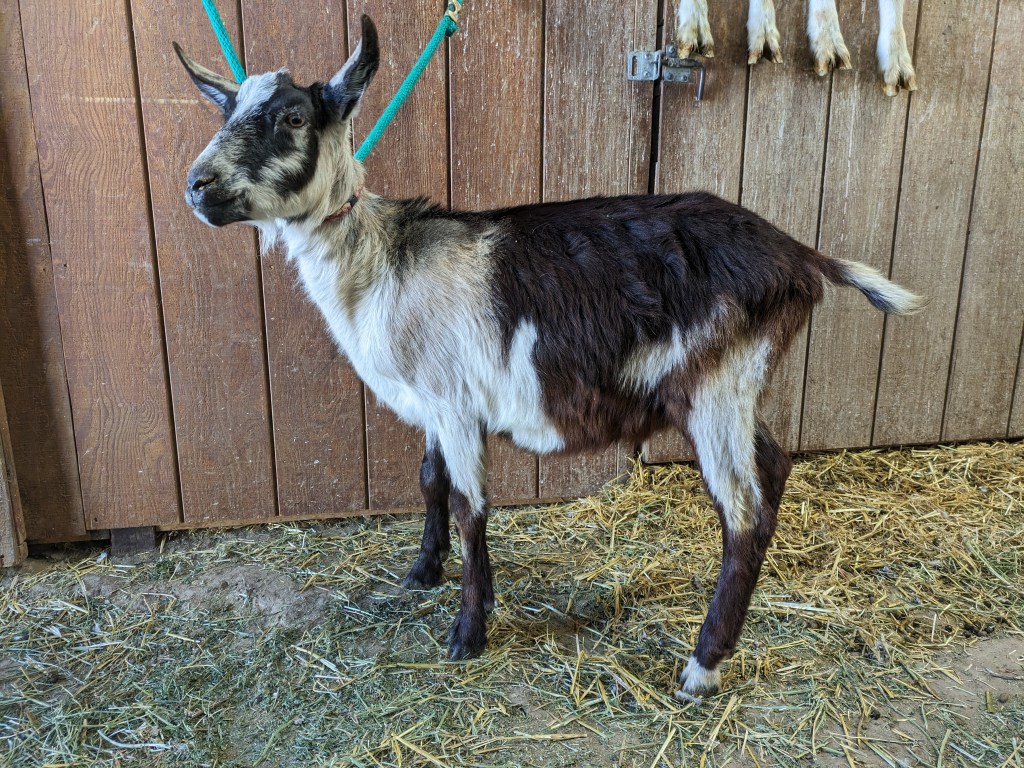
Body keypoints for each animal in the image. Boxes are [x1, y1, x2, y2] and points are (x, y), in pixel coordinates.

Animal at [175, 15, 922, 699]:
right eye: (227, 109)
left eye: (292, 116)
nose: (197, 185)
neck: (386, 262)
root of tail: (801, 257)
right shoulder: (433, 402)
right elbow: (429, 481)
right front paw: (422, 573)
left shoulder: (455, 402)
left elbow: (470, 504)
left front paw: (468, 632)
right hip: (735, 383)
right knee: (774, 465)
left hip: (715, 384)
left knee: (741, 512)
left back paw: (702, 666)